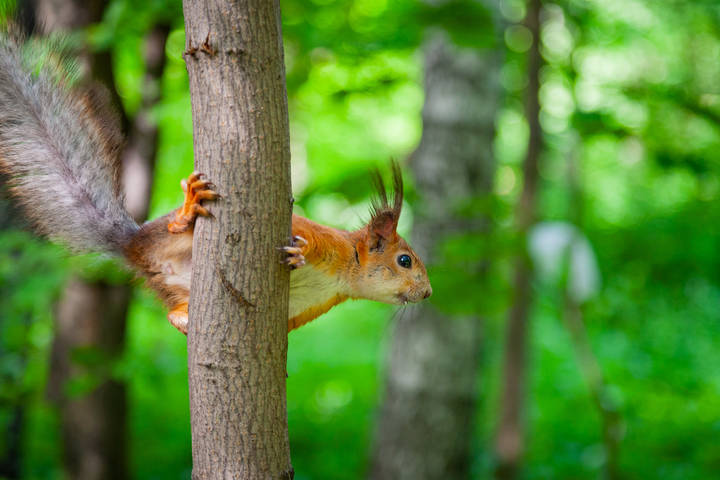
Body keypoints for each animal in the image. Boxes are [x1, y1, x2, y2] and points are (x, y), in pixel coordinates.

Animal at [0, 34, 432, 335]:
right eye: (404, 260)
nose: (427, 293)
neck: (345, 272)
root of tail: (133, 246)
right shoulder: (327, 241)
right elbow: (305, 237)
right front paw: (299, 253)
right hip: (169, 237)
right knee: (180, 226)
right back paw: (190, 207)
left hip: (175, 289)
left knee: (172, 309)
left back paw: (184, 320)